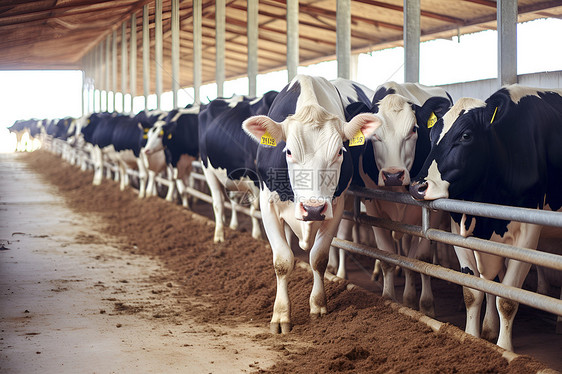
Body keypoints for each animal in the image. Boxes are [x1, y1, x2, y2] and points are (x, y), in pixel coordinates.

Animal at [199, 91, 278, 243]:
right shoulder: (255, 178)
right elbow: (256, 209)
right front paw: (258, 236)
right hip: (209, 171)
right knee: (218, 203)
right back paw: (219, 235)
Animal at [242, 75, 380, 334]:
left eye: (340, 152)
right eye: (288, 152)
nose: (313, 208)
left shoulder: (336, 206)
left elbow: (318, 257)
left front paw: (318, 306)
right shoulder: (268, 204)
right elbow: (282, 260)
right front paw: (280, 315)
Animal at [336, 81, 450, 316]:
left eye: (414, 129)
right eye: (373, 134)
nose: (392, 175)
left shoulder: (431, 212)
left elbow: (419, 258)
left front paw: (422, 304)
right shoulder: (373, 207)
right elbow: (387, 254)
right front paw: (389, 297)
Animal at [406, 84, 560, 350]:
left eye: (466, 136)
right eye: (433, 134)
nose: (418, 186)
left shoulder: (528, 235)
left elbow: (507, 298)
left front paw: (504, 348)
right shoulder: (459, 228)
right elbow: (474, 291)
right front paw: (474, 336)